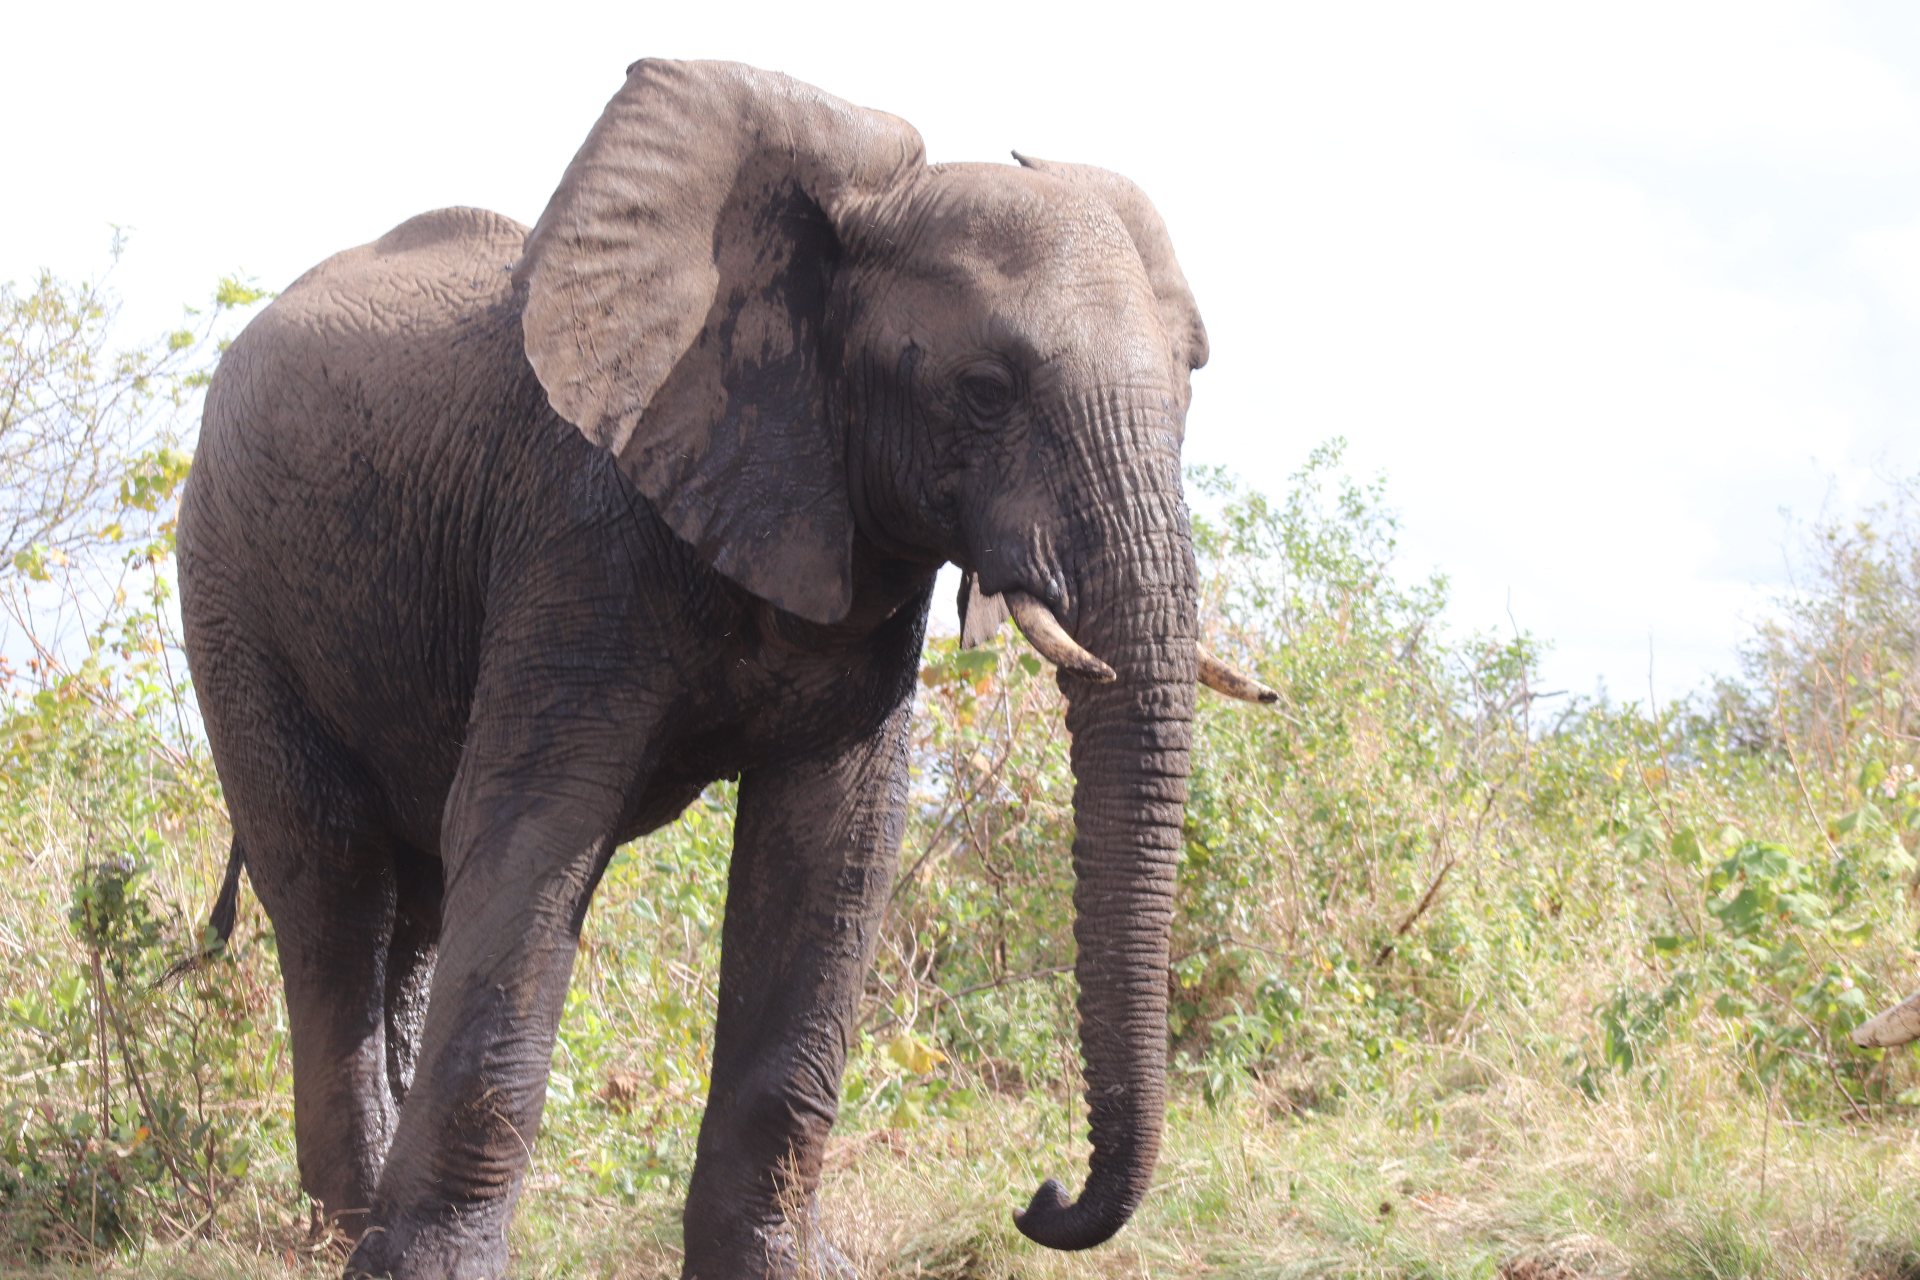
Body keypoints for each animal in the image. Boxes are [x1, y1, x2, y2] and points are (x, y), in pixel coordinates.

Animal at [178, 57, 1271, 1279]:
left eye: (1190, 385)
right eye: (985, 388)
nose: (1038, 1198)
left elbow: (829, 854)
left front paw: (780, 1266)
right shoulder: (579, 528)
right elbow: (532, 830)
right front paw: (426, 1273)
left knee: (407, 899)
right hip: (231, 586)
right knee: (332, 883)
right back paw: (345, 1227)